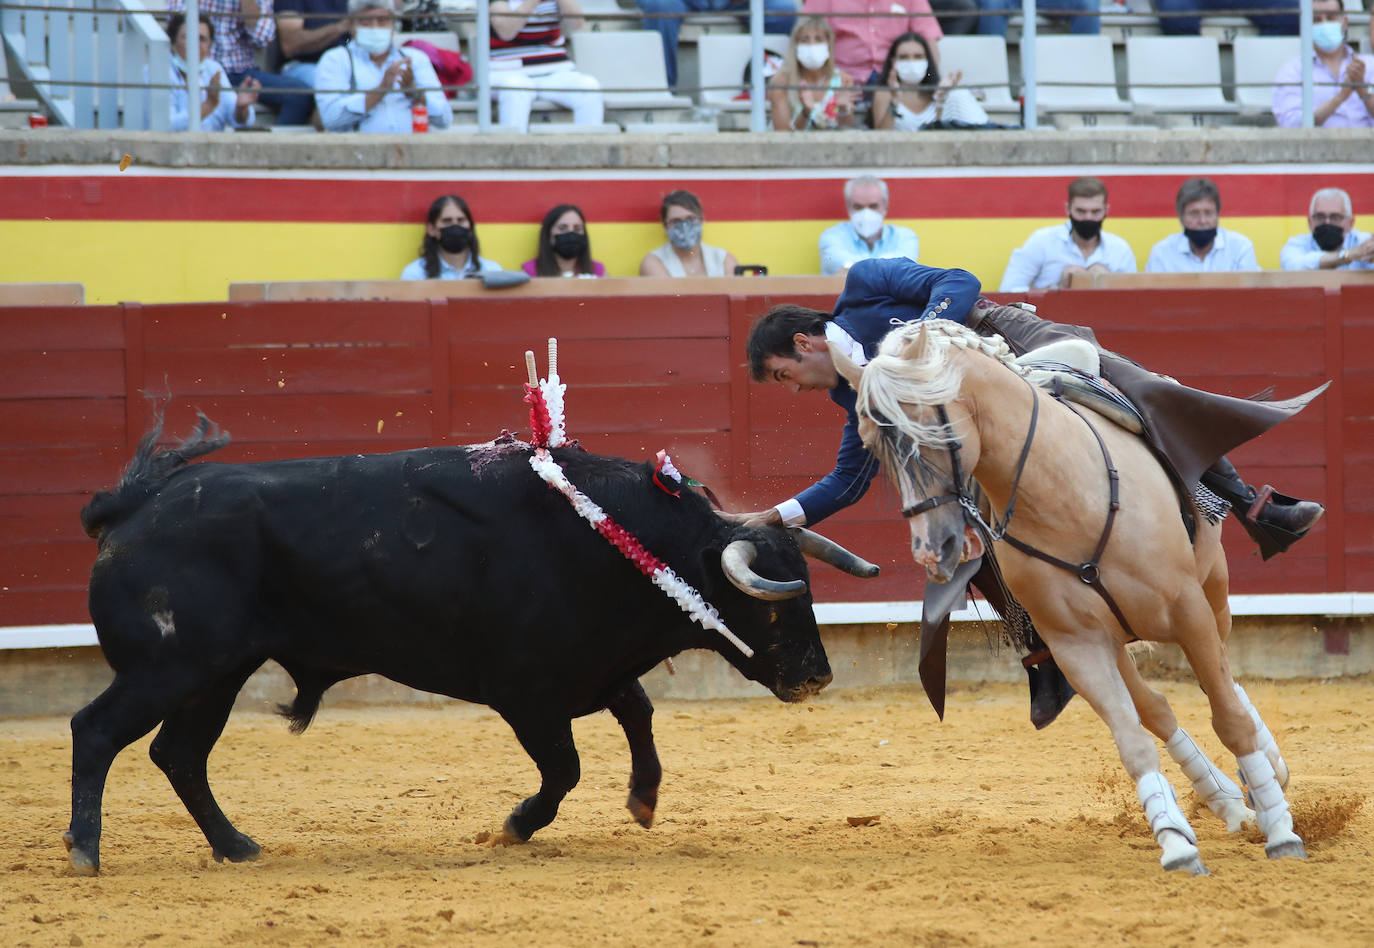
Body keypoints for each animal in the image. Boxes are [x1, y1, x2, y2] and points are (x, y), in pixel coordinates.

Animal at [64, 412, 873, 873]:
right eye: (773, 611)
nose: (817, 677)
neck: (615, 540)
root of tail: (132, 508)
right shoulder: (527, 694)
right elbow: (565, 769)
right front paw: (515, 826)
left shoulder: (596, 668)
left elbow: (638, 715)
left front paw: (643, 801)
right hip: (170, 667)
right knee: (97, 731)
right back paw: (84, 852)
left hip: (217, 672)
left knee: (179, 755)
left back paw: (237, 847)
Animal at [829, 317, 1302, 873]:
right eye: (871, 445)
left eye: (933, 432)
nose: (933, 549)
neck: (1062, 496)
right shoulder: (1077, 644)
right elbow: (1133, 741)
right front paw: (1176, 842)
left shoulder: (1187, 610)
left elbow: (1228, 716)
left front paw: (1281, 830)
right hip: (1117, 638)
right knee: (1157, 708)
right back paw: (1227, 799)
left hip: (1214, 591)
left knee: (1226, 686)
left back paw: (1266, 773)